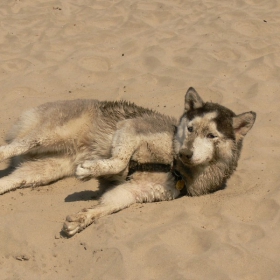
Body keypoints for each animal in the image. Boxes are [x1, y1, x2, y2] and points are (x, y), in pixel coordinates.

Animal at [0, 88, 256, 236]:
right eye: (191, 128)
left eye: (212, 135)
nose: (185, 153)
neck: (175, 166)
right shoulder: (132, 128)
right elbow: (120, 161)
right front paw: (91, 169)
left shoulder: (134, 192)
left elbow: (107, 206)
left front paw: (82, 219)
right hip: (52, 134)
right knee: (16, 145)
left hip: (45, 170)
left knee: (13, 179)